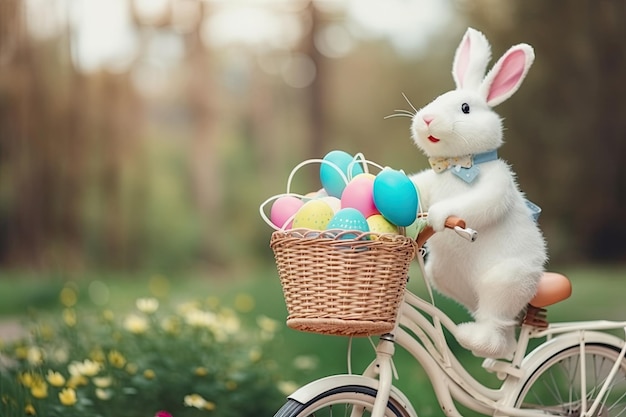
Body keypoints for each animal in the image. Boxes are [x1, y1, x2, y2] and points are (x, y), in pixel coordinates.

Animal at [408, 27, 544, 358]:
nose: (427, 119)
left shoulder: (496, 185)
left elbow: (481, 202)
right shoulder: (429, 182)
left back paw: (475, 339)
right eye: (437, 98)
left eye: (465, 109)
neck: (457, 164)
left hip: (508, 279)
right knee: (494, 319)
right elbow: (415, 186)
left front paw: (439, 216)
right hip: (444, 275)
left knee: (497, 317)